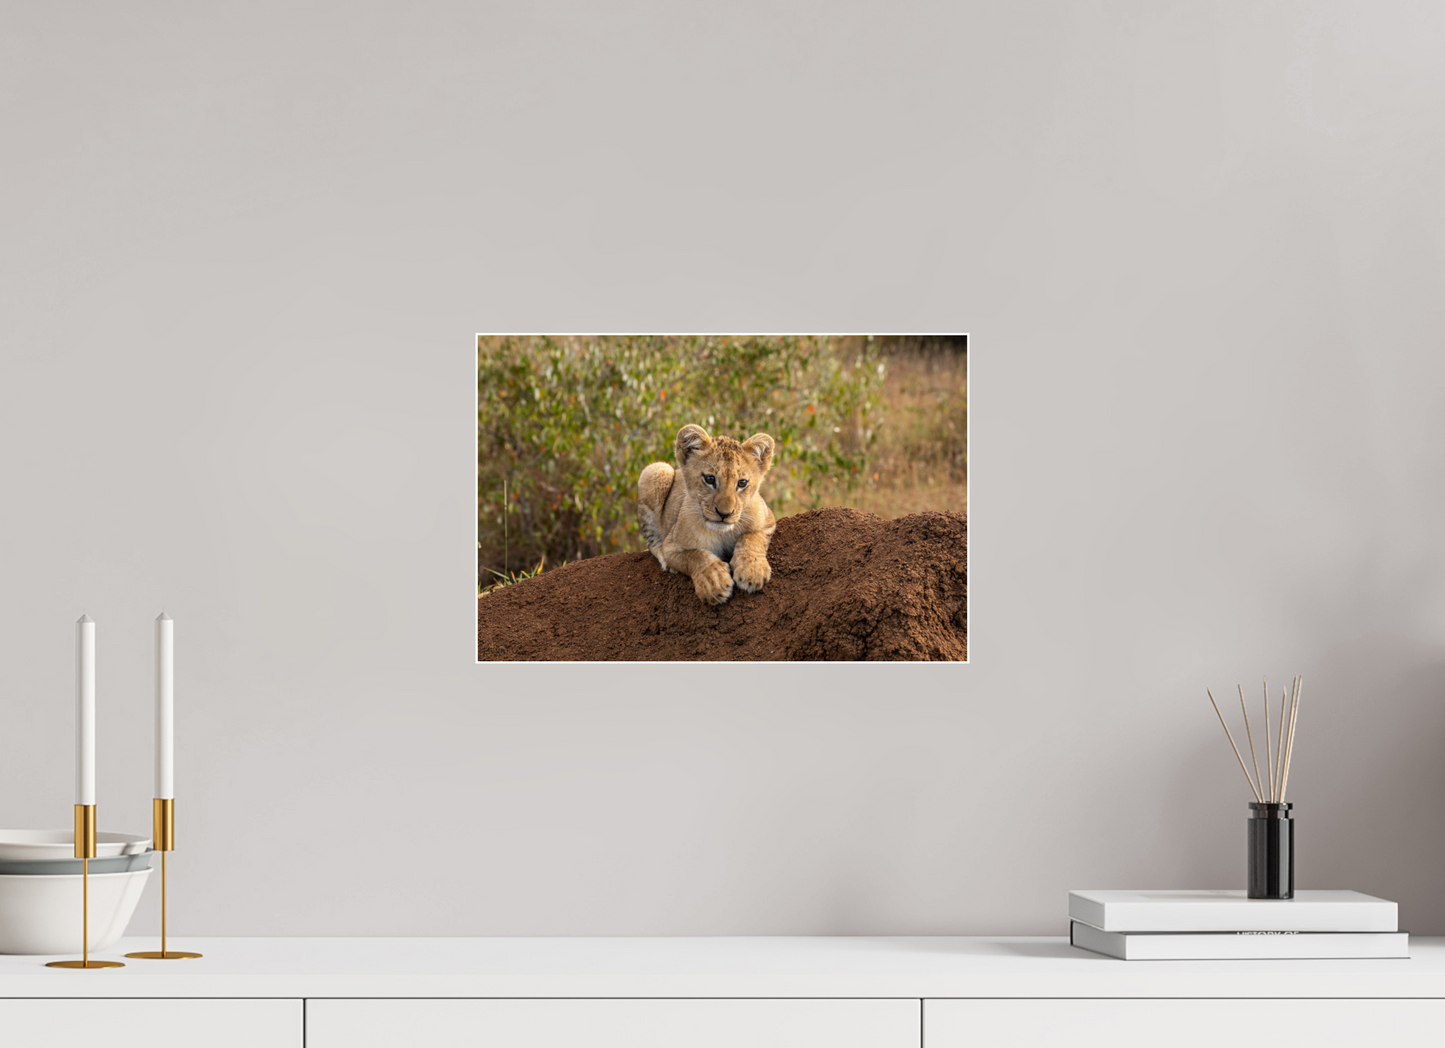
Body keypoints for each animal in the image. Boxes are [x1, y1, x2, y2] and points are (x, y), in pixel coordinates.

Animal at [636, 424, 777, 605]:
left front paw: (751, 570)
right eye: (710, 479)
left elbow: (752, 537)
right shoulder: (672, 547)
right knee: (652, 540)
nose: (724, 513)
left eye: (742, 483)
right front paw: (714, 580)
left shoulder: (768, 520)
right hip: (655, 471)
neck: (722, 533)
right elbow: (695, 556)